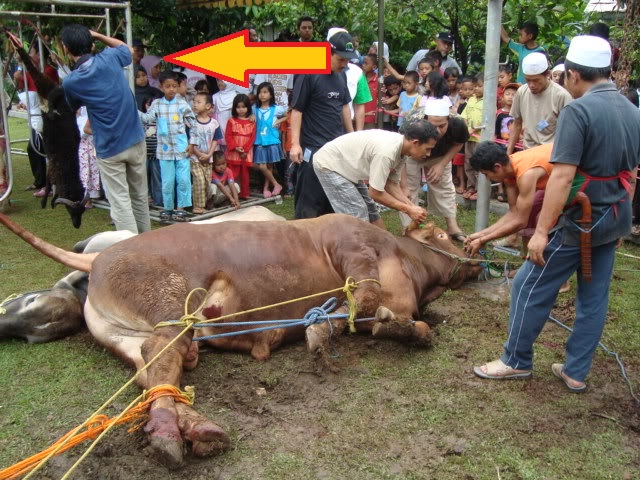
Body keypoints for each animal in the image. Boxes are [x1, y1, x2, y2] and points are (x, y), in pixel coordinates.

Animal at [0, 213, 480, 468]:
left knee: (152, 369)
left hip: (125, 333)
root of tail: (97, 258)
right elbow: (364, 296)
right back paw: (170, 435)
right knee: (163, 353)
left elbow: (401, 324)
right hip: (171, 299)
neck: (413, 268)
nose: (475, 255)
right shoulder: (352, 246)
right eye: (442, 234)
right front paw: (318, 332)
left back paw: (196, 428)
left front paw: (399, 329)